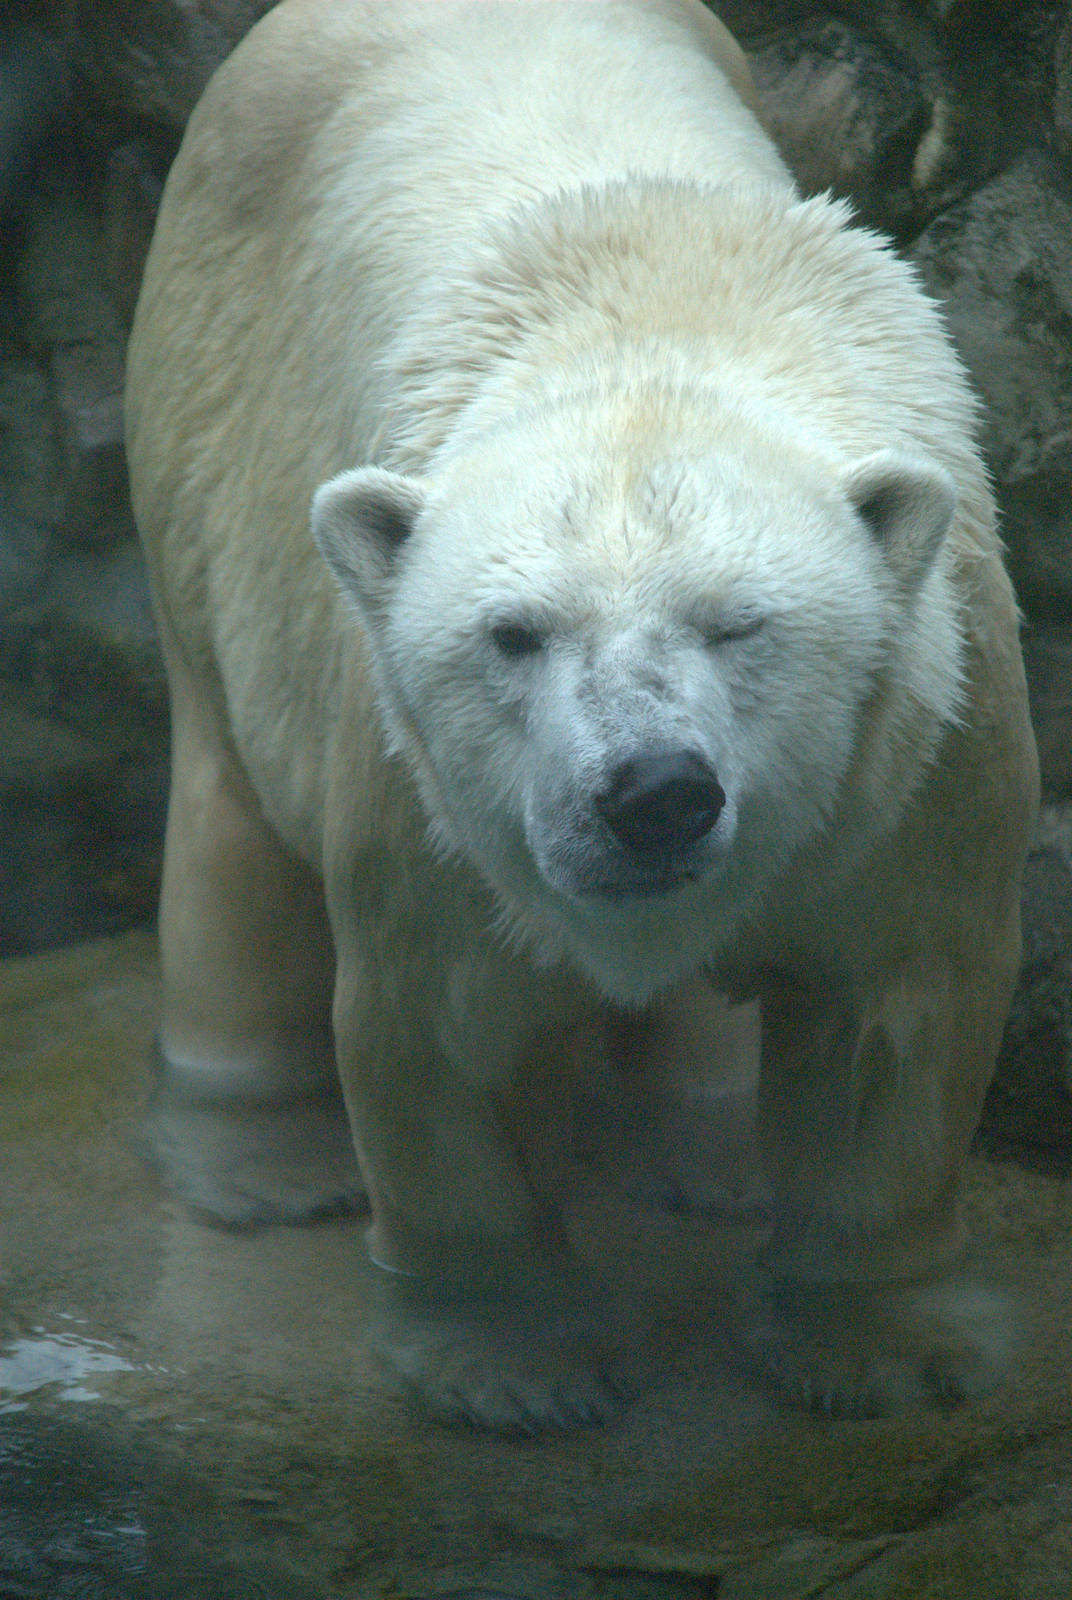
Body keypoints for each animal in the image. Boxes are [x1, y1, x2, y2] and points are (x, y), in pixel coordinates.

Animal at [125, 0, 1038, 1433]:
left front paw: (878, 1348)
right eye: (514, 633)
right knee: (230, 824)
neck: (654, 330)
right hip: (207, 440)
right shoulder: (432, 809)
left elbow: (889, 1026)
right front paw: (510, 1368)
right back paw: (263, 1172)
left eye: (739, 622)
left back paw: (706, 1161)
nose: (653, 791)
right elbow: (450, 1043)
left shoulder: (917, 769)